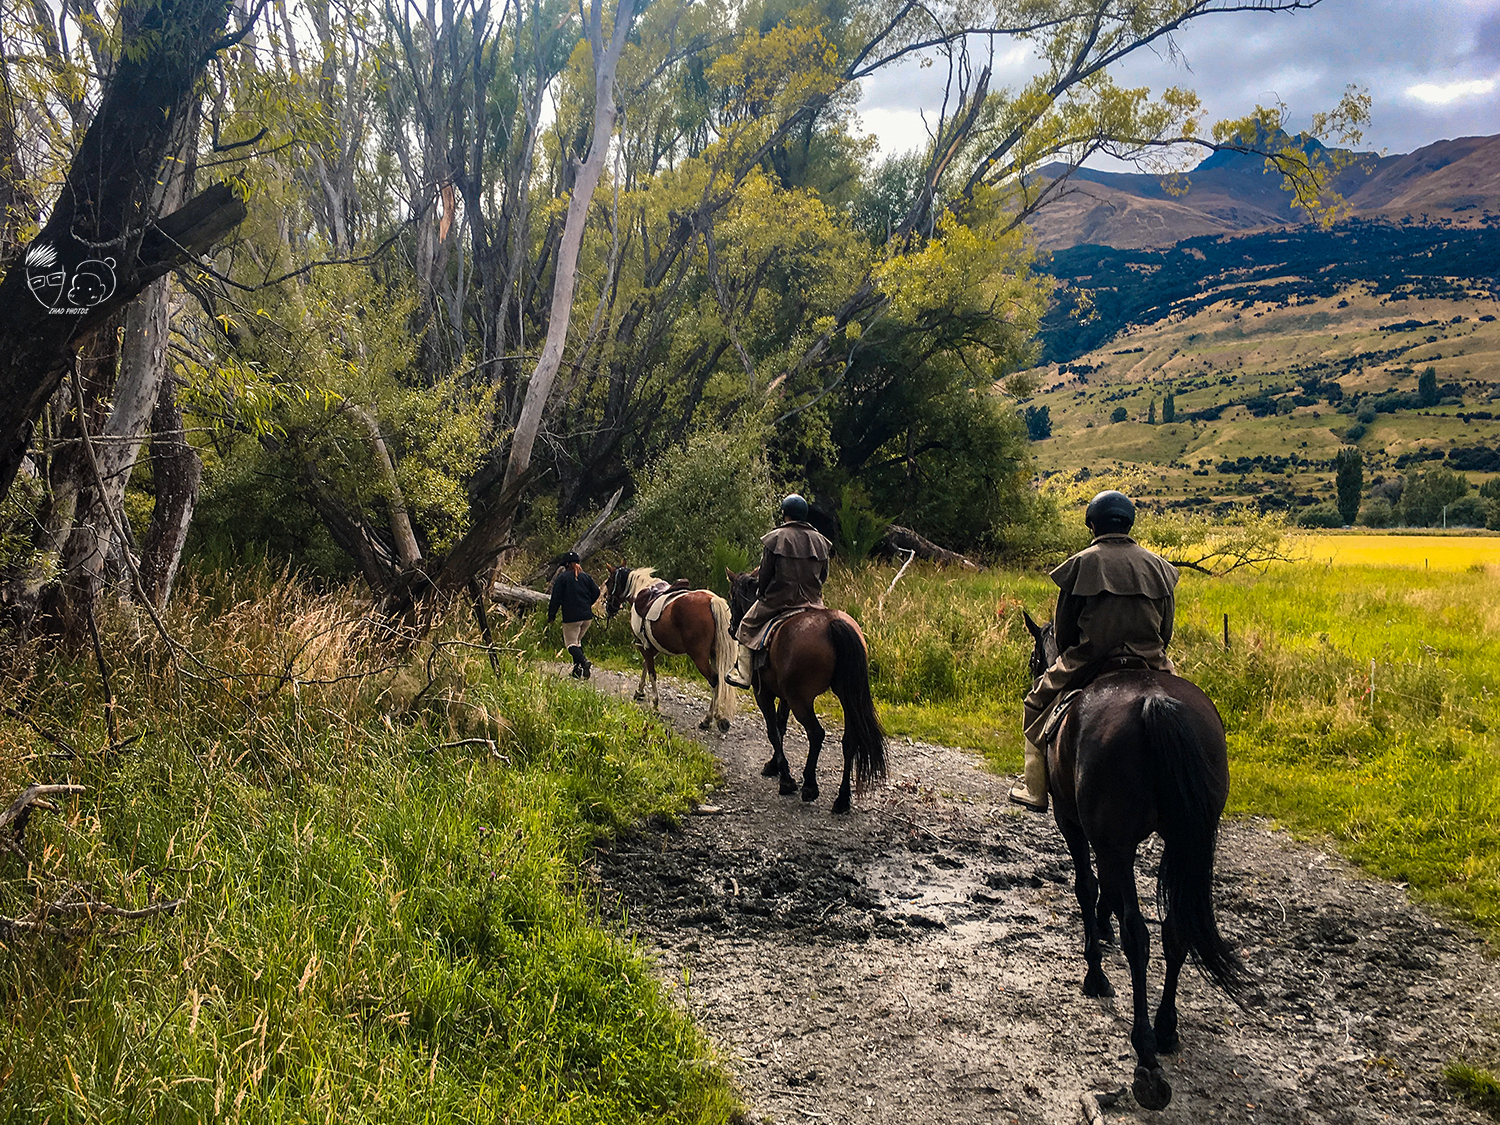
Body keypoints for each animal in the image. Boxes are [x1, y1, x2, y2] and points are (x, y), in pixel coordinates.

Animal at [600, 567, 735, 735]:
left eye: (609, 582)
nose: (608, 608)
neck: (640, 593)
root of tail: (712, 600)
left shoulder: (644, 646)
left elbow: (652, 673)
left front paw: (655, 704)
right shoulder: (651, 647)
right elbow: (645, 666)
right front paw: (640, 692)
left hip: (700, 657)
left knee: (714, 680)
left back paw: (708, 719)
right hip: (715, 655)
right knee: (719, 681)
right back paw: (717, 718)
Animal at [723, 567, 882, 816]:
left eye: (732, 596)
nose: (731, 628)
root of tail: (834, 624)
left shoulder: (764, 693)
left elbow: (773, 731)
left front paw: (786, 779)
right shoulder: (785, 696)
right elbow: (780, 727)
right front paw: (774, 765)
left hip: (802, 700)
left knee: (816, 733)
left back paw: (809, 786)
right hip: (844, 697)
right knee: (849, 741)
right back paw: (842, 799)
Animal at [1020, 612, 1254, 1116]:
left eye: (1033, 658)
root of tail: (1154, 703)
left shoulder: (1075, 823)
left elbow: (1087, 887)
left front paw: (1095, 968)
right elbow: (1107, 891)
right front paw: (1102, 929)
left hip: (1115, 838)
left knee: (1140, 936)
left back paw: (1145, 1056)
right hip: (1184, 840)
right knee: (1176, 927)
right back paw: (1165, 1028)